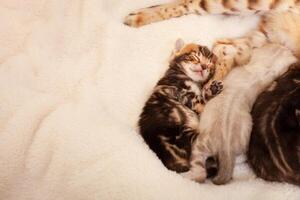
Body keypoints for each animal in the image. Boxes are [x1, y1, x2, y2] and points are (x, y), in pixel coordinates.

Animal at [139, 39, 223, 172]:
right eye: (195, 58)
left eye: (209, 65)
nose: (204, 66)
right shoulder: (184, 94)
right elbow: (202, 103)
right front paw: (211, 92)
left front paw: (212, 89)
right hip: (183, 134)